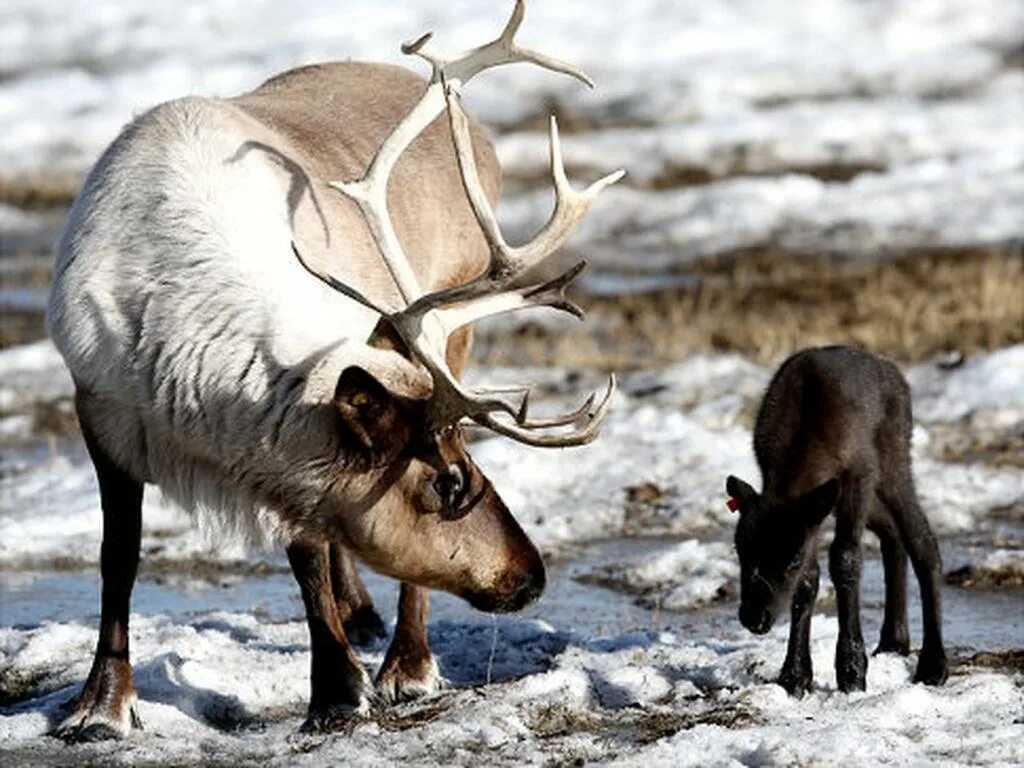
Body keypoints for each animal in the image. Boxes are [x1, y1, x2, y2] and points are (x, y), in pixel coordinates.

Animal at [724, 348, 946, 696]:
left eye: (792, 559)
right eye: (740, 551)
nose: (755, 618)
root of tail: (891, 368)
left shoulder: (859, 474)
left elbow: (845, 559)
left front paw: (852, 672)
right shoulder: (812, 512)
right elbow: (809, 580)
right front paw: (795, 676)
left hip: (893, 461)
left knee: (922, 541)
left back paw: (933, 665)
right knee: (892, 534)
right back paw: (894, 642)